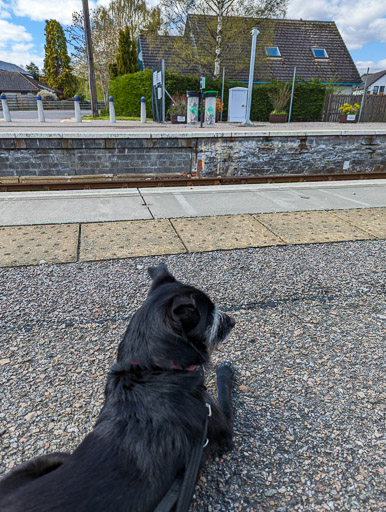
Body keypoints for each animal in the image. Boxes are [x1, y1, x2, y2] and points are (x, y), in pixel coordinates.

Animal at [0, 264, 235, 512]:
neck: (150, 369)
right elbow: (225, 394)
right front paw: (225, 370)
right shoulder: (218, 424)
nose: (232, 322)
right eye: (210, 314)